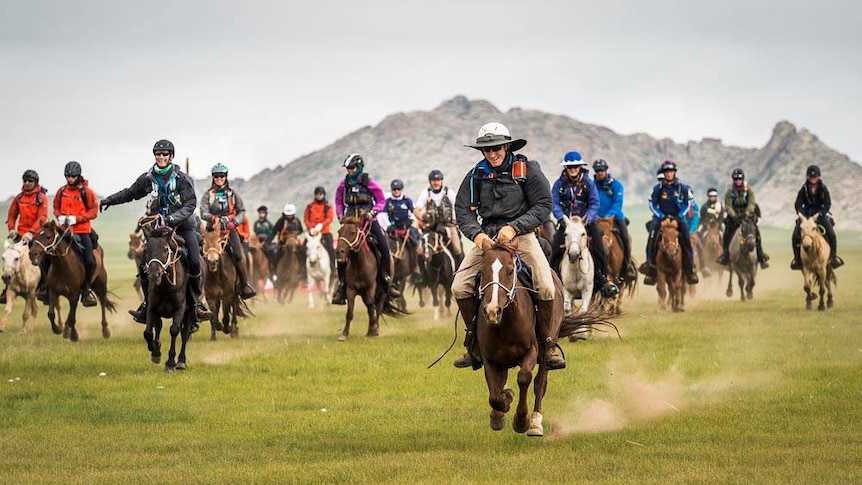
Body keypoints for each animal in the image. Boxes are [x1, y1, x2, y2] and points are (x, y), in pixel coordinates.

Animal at [140, 221, 194, 368]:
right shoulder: (152, 307)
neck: (165, 286)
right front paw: (155, 351)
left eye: (165, 249)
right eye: (147, 249)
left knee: (184, 334)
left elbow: (174, 330)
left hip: (189, 312)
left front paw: (170, 361)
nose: (154, 274)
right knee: (158, 326)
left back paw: (181, 361)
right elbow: (148, 332)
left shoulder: (180, 309)